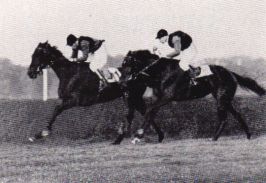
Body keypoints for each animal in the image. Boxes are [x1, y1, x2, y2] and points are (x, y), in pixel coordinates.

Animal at [116, 49, 266, 144]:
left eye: (127, 64)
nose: (122, 84)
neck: (161, 72)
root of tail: (230, 73)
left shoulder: (167, 97)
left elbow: (149, 111)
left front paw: (138, 135)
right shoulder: (158, 98)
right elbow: (150, 113)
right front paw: (149, 136)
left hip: (221, 99)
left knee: (224, 119)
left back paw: (214, 138)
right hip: (224, 99)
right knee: (237, 115)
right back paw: (248, 135)